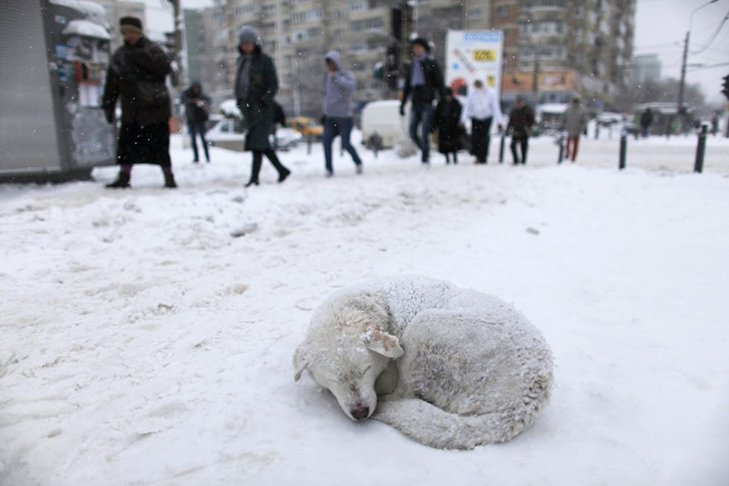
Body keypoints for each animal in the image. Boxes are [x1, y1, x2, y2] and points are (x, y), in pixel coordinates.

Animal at [290, 276, 552, 450]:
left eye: (365, 370)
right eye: (335, 379)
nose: (360, 413)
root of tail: (528, 397)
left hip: (424, 326)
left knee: (403, 393)